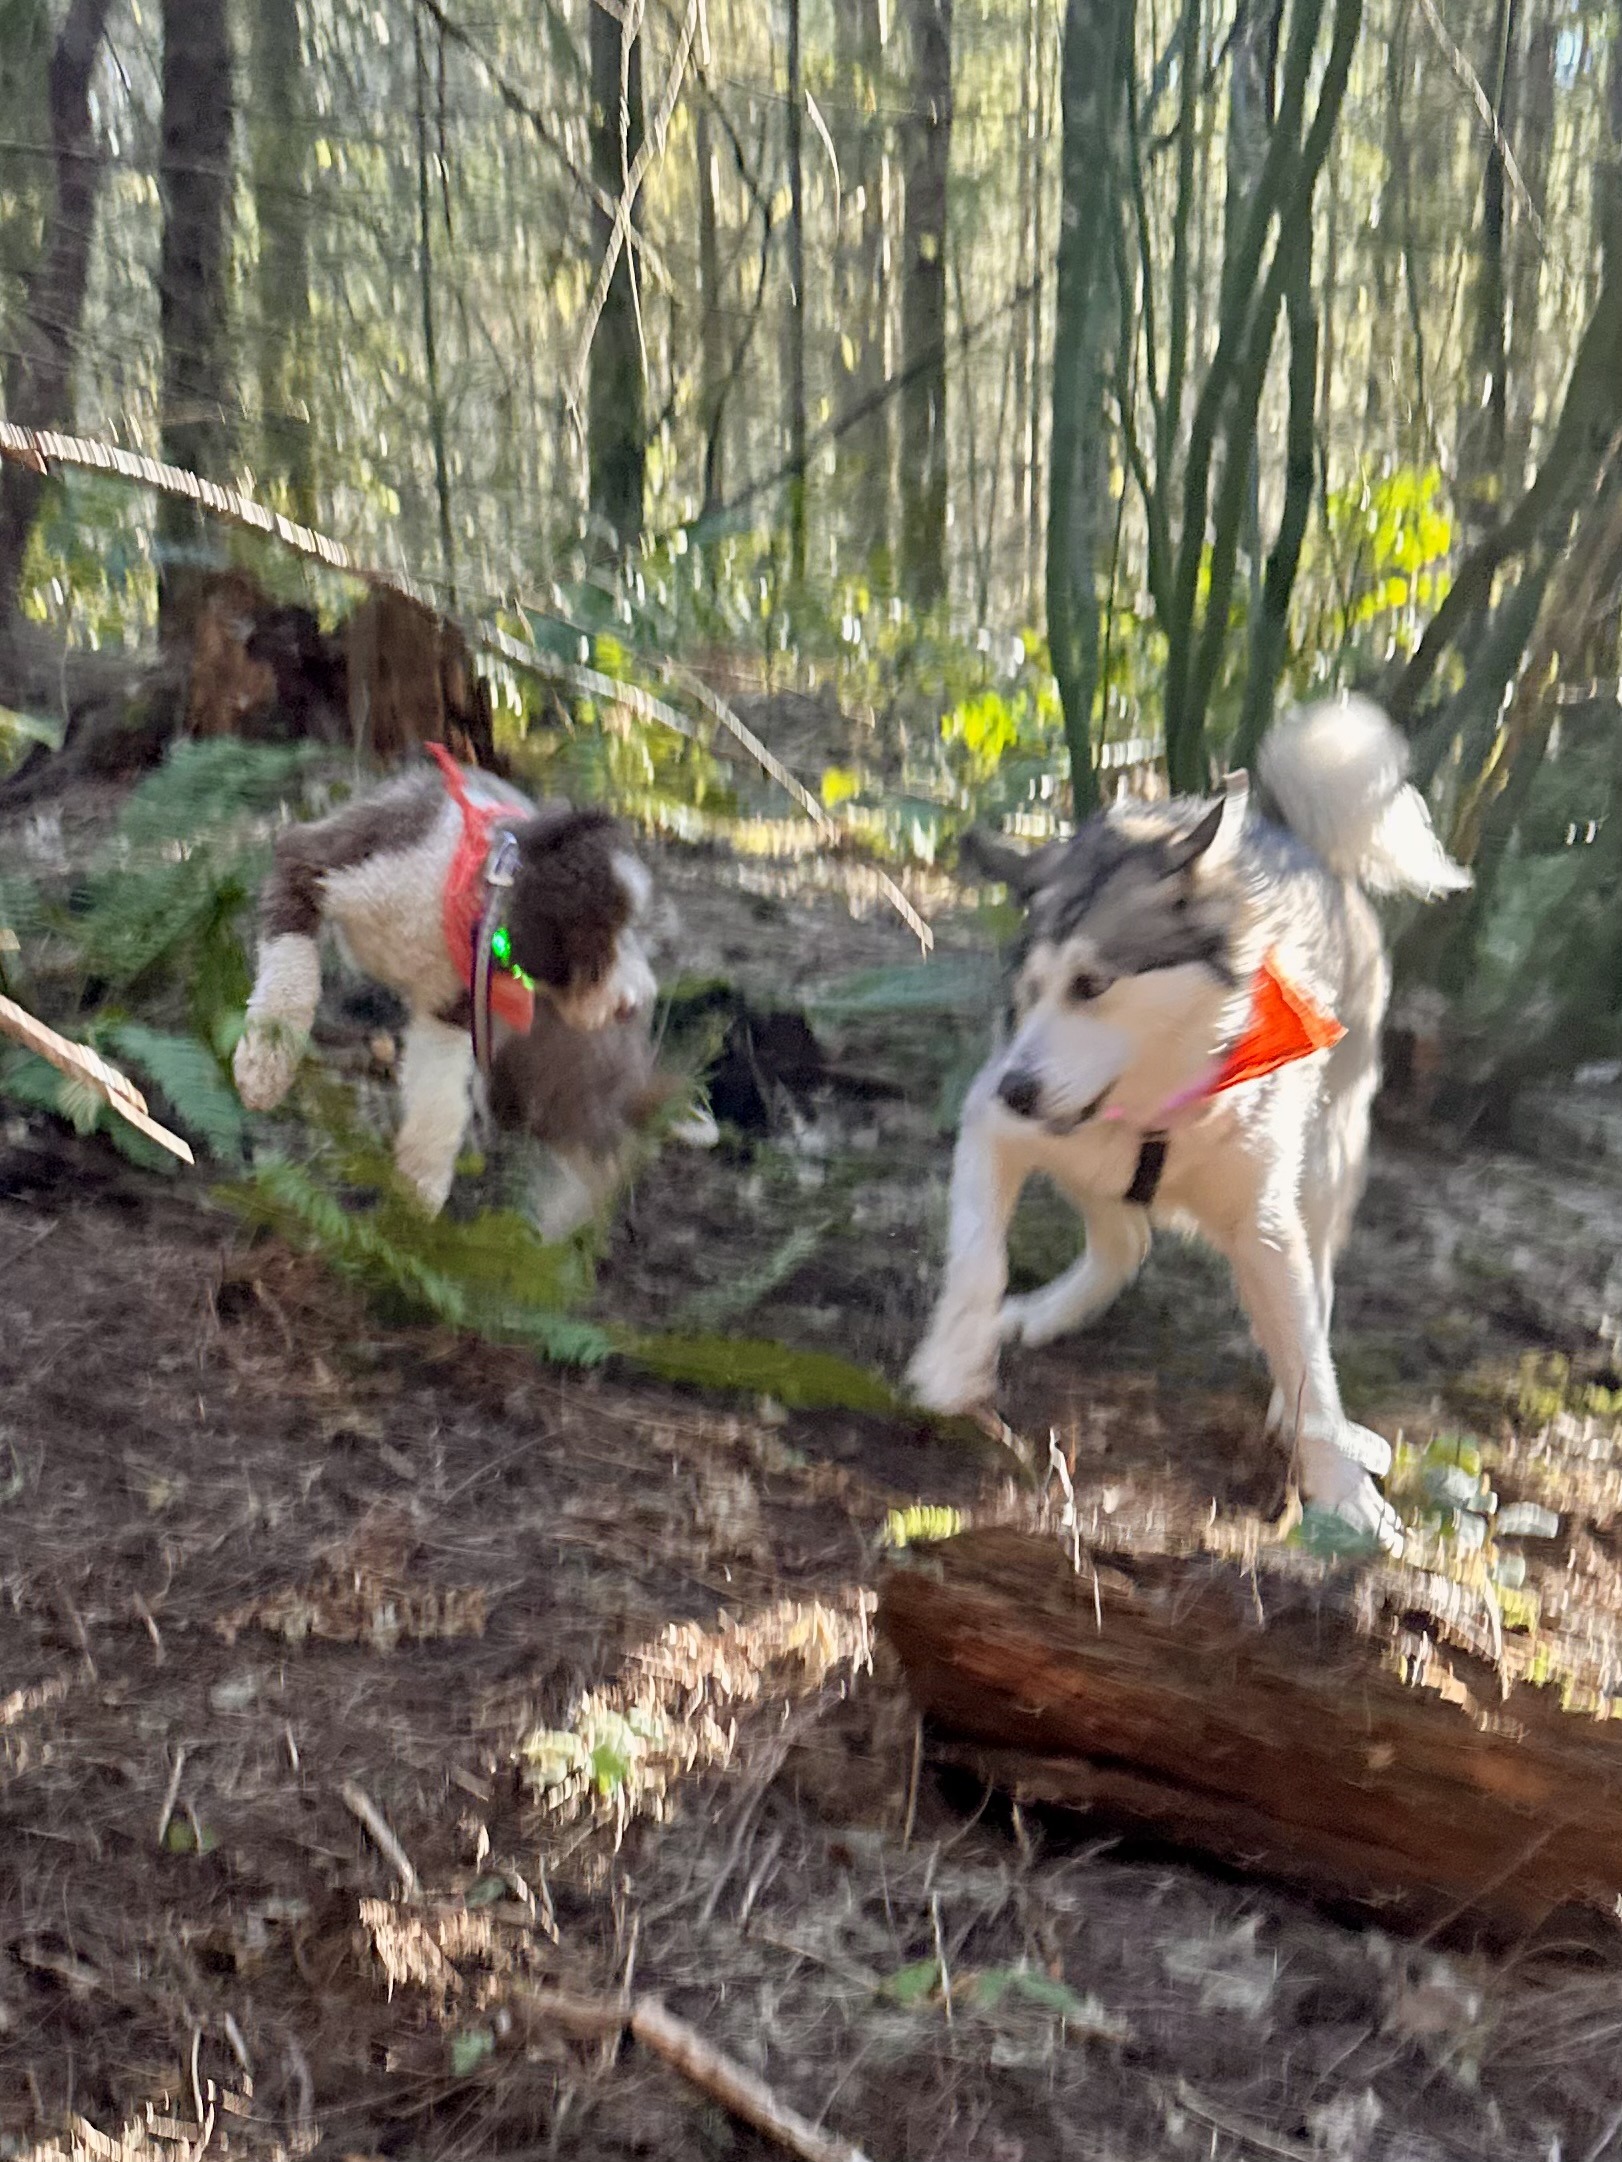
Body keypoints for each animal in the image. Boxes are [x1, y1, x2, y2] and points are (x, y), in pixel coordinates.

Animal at [916, 700, 1470, 1547]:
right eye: (1029, 989)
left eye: (1091, 983)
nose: (1018, 1088)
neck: (1155, 1104)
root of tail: (1300, 842)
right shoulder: (995, 1130)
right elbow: (979, 1257)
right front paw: (953, 1360)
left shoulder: (1262, 1222)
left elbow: (1306, 1358)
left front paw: (1343, 1488)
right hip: (1088, 1168)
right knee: (1124, 1239)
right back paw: (1050, 1310)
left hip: (1328, 1154)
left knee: (1317, 1272)